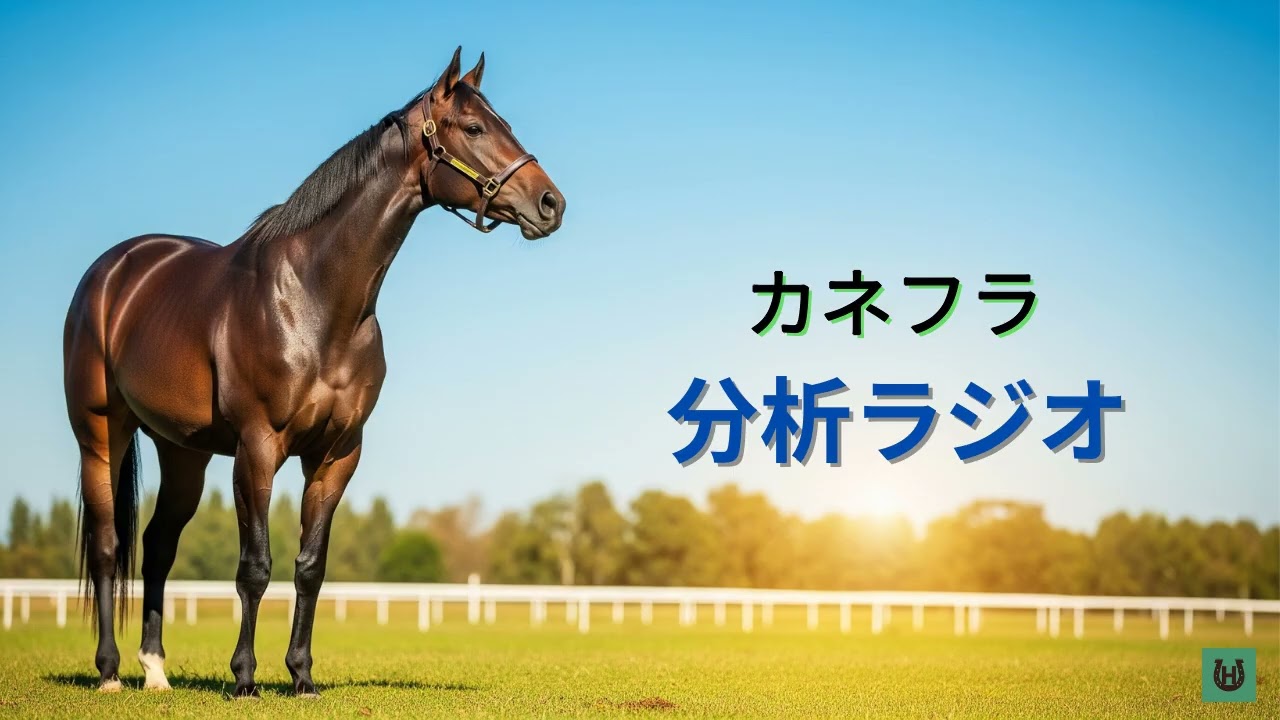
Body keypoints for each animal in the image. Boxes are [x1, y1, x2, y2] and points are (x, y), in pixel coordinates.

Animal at [62, 47, 564, 698]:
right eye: (475, 128)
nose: (551, 203)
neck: (315, 299)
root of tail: (112, 271)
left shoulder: (336, 455)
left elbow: (310, 567)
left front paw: (301, 675)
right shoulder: (257, 449)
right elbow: (255, 568)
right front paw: (245, 678)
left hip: (184, 453)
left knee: (156, 547)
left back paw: (155, 670)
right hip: (101, 435)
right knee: (107, 547)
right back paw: (109, 672)